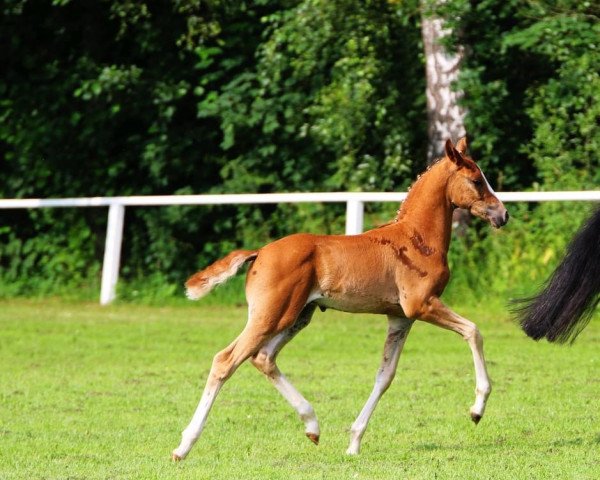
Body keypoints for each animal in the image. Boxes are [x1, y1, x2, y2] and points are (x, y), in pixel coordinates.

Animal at [171, 137, 508, 460]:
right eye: (477, 180)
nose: (503, 214)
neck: (417, 239)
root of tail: (260, 252)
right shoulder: (421, 305)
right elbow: (473, 331)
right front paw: (477, 409)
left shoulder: (400, 317)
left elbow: (385, 375)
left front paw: (354, 443)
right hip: (271, 315)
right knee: (226, 360)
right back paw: (183, 446)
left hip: (298, 316)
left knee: (263, 357)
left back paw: (312, 426)